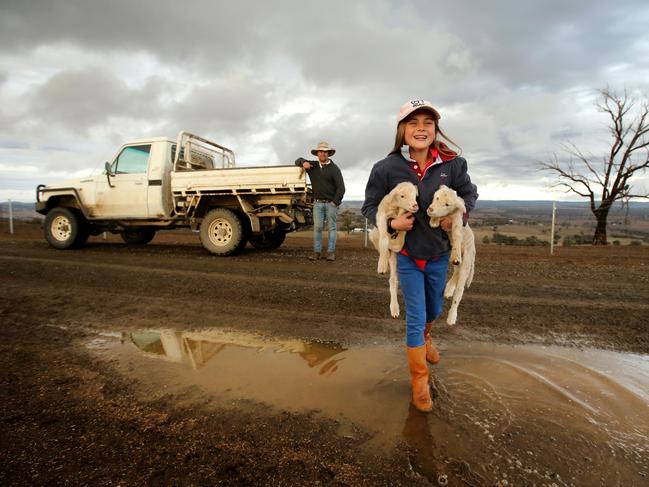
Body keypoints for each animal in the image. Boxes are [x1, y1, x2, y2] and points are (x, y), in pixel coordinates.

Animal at [370, 181, 420, 318]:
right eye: (402, 196)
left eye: (415, 195)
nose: (415, 205)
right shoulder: (381, 216)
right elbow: (383, 238)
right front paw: (381, 265)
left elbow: (399, 240)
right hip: (372, 234)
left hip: (395, 259)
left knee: (393, 280)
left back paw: (394, 308)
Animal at [426, 185, 476, 326]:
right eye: (437, 198)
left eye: (447, 204)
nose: (430, 209)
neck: (450, 214)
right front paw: (434, 221)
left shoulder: (458, 220)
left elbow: (457, 234)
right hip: (459, 264)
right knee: (457, 271)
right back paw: (448, 289)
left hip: (467, 262)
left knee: (459, 291)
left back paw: (452, 317)